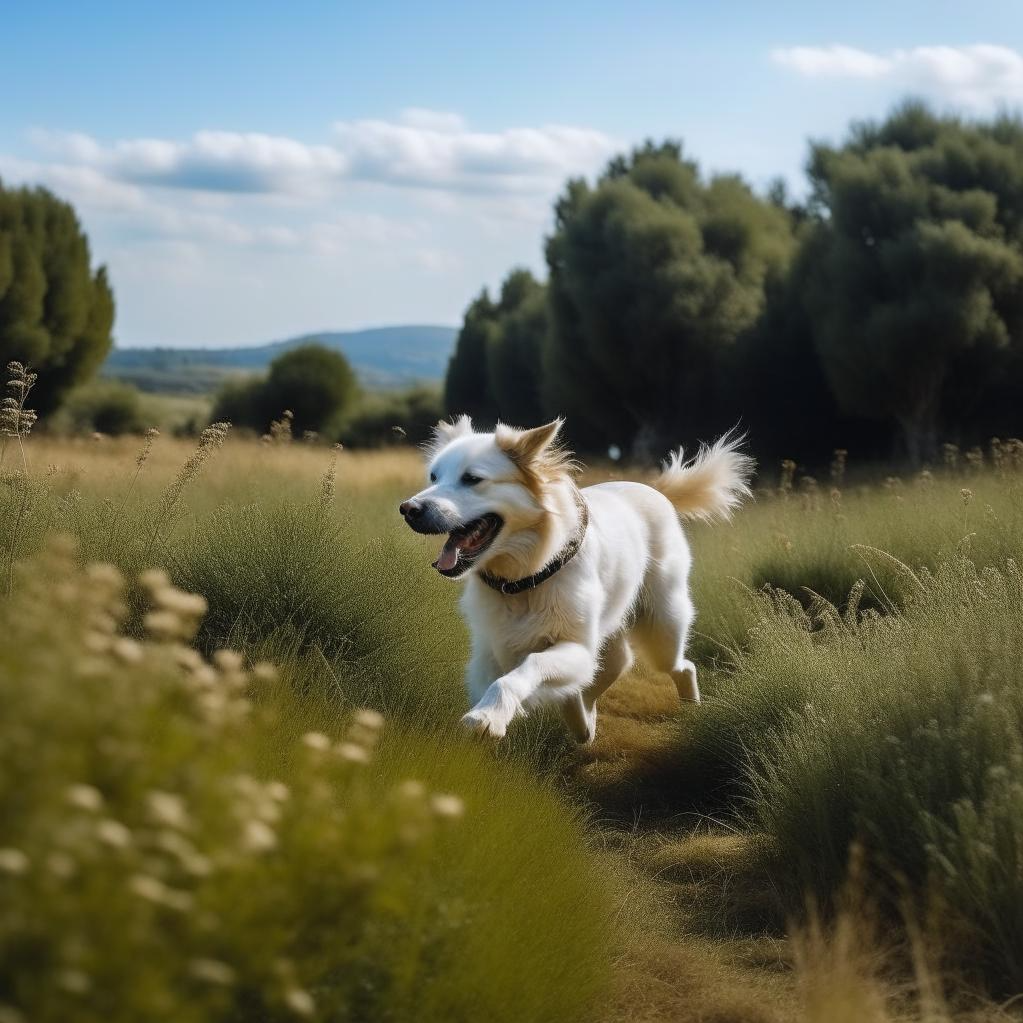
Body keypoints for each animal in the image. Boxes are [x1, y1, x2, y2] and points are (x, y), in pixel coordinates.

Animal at [398, 417, 752, 744]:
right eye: (433, 476)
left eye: (472, 479)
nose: (408, 509)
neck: (522, 581)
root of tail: (655, 489)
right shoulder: (489, 651)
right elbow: (508, 679)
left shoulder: (577, 647)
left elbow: (526, 669)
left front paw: (487, 716)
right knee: (612, 669)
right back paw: (584, 727)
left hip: (662, 627)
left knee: (682, 666)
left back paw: (690, 708)